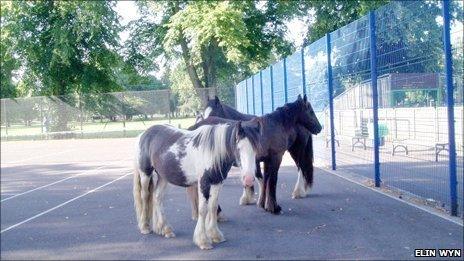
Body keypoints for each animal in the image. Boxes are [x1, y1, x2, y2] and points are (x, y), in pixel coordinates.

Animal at [190, 95, 320, 213]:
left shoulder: (265, 160)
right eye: (311, 111)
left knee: (301, 167)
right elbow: (272, 180)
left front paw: (263, 204)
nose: (319, 128)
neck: (276, 124)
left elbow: (266, 179)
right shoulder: (275, 157)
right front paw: (273, 207)